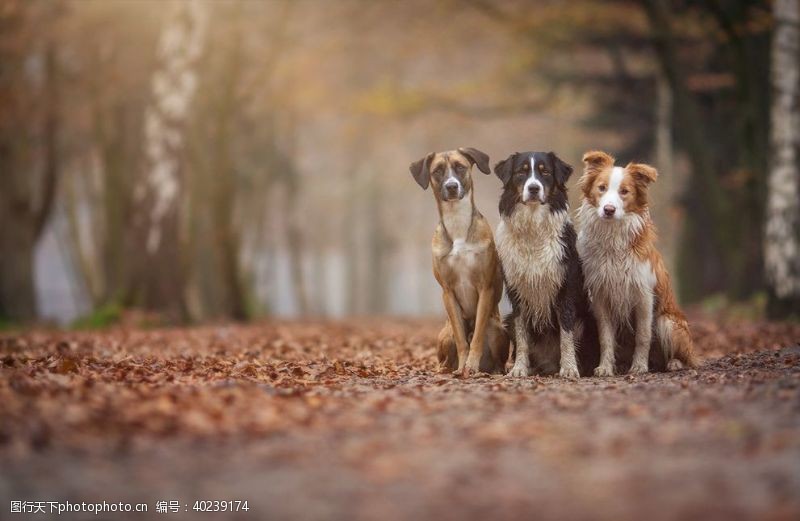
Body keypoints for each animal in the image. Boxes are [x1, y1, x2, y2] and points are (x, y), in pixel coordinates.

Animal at [412, 148, 506, 376]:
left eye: (460, 167)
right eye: (437, 171)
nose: (451, 186)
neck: (457, 222)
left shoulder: (485, 288)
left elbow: (477, 337)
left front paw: (471, 366)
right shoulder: (448, 292)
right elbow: (462, 340)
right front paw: (463, 365)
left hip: (497, 329)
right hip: (445, 334)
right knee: (446, 357)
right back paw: (446, 370)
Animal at [494, 151, 600, 378]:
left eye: (545, 173)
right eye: (522, 172)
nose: (534, 188)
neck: (533, 227)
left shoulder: (565, 290)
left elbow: (566, 335)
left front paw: (569, 368)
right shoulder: (517, 293)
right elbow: (522, 337)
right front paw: (519, 368)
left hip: (588, 319)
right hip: (507, 319)